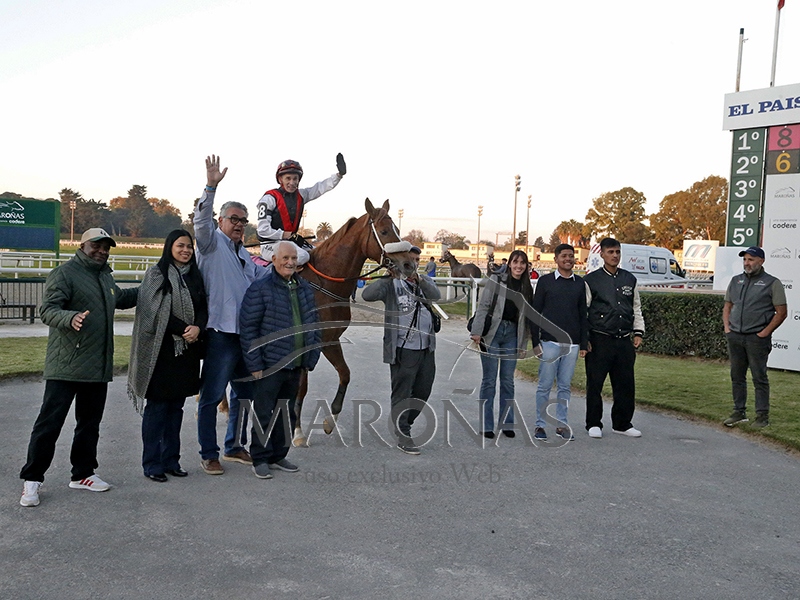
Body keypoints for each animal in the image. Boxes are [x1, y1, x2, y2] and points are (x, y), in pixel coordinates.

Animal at [292, 198, 417, 446]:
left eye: (397, 230)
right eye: (384, 231)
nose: (409, 264)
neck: (324, 284)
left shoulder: (331, 340)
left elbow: (345, 374)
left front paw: (330, 420)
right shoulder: (307, 344)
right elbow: (301, 387)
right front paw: (298, 432)